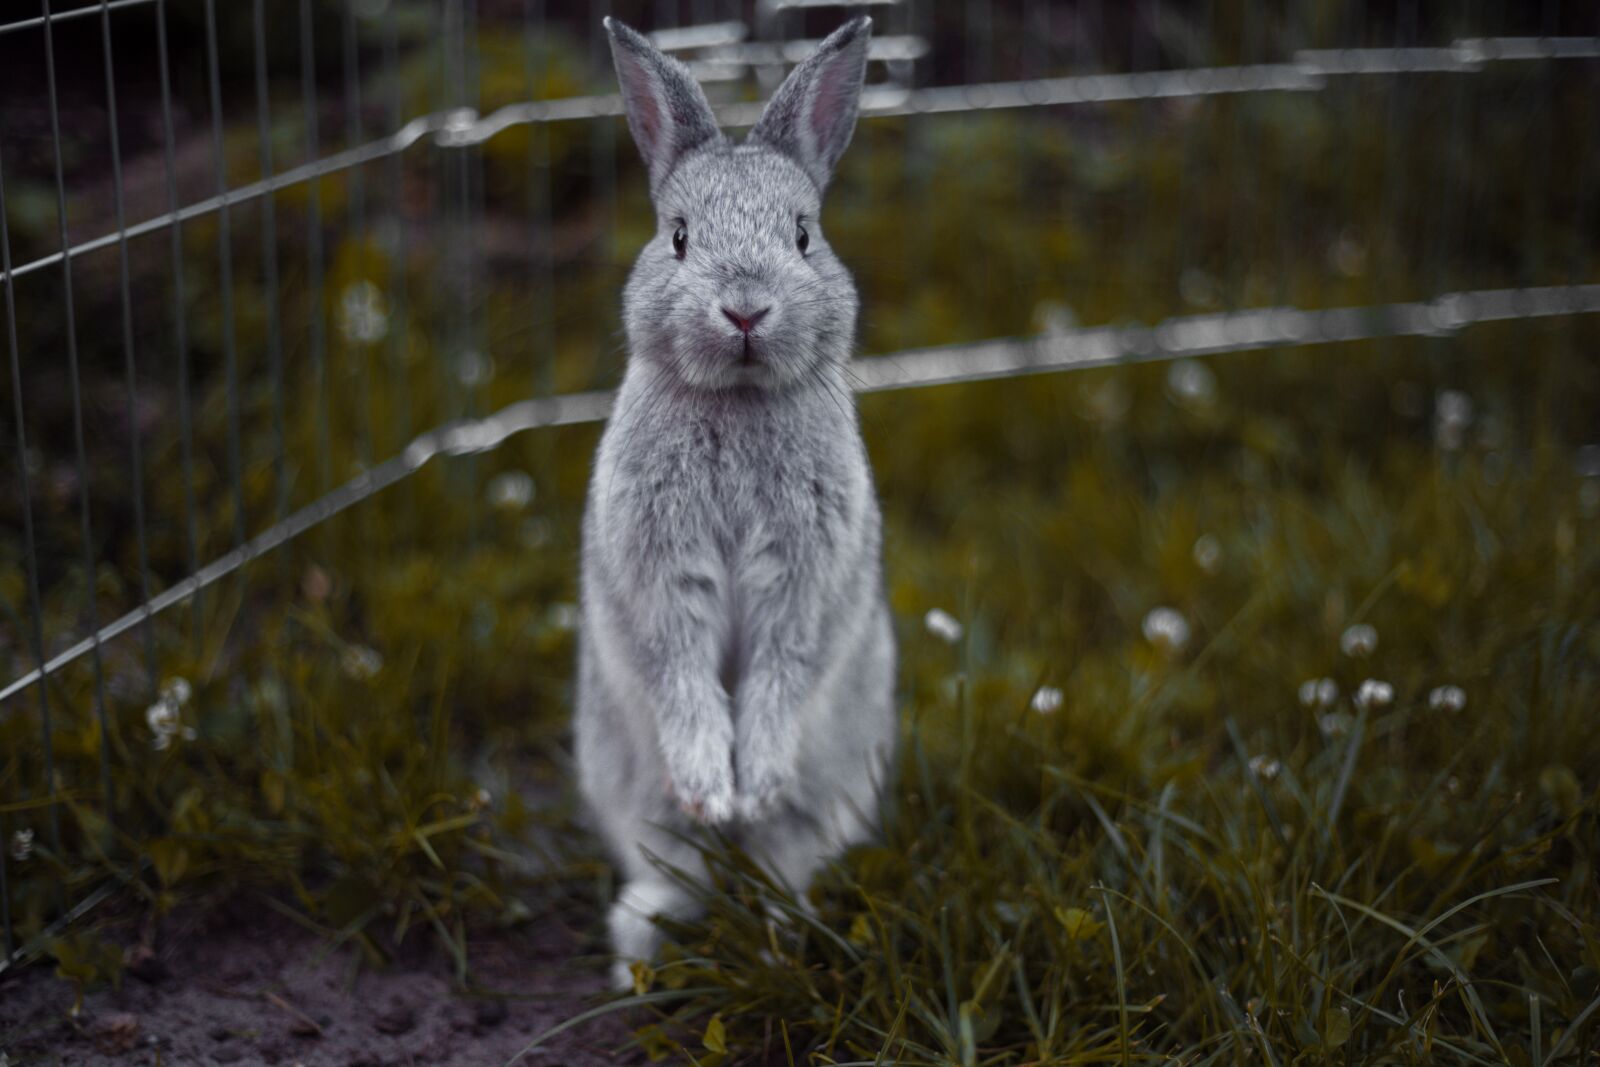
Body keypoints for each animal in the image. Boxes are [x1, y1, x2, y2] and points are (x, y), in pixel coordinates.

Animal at [575, 15, 896, 989]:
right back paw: (645, 948)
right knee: (678, 866)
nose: (746, 310)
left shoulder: (803, 578)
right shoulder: (660, 575)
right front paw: (713, 788)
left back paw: (781, 936)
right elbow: (680, 666)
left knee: (780, 861)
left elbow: (783, 666)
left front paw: (751, 781)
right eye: (679, 237)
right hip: (629, 791)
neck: (740, 400)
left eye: (803, 235)